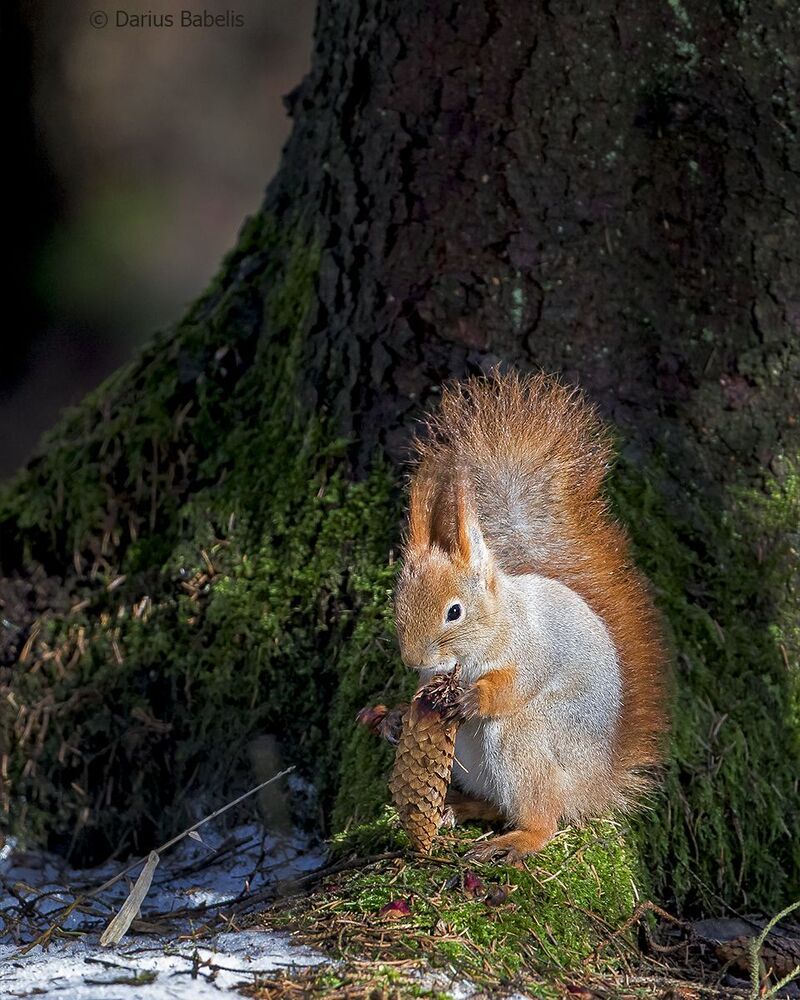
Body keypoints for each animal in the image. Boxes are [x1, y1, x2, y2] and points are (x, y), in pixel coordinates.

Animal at [393, 371, 668, 862]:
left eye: (454, 612)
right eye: (396, 599)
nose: (411, 660)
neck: (497, 624)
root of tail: (591, 786)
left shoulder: (534, 650)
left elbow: (514, 687)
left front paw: (472, 699)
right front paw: (396, 713)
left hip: (523, 744)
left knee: (542, 817)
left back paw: (517, 840)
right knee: (498, 803)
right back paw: (459, 808)